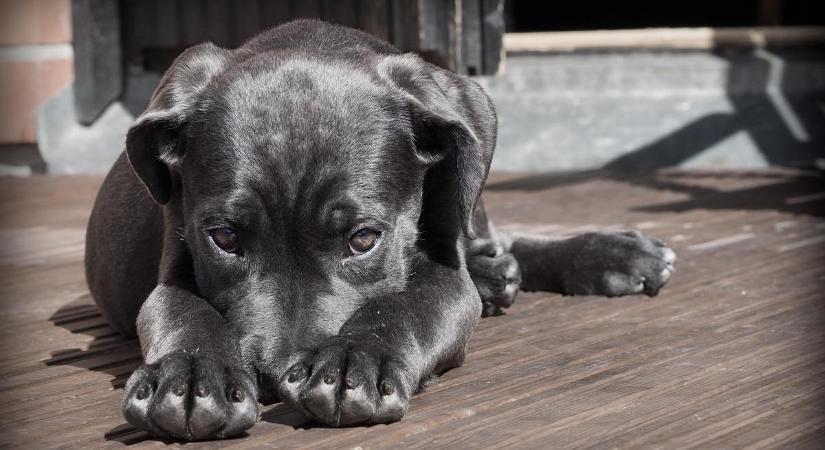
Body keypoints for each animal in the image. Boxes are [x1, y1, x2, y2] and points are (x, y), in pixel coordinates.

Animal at [85, 19, 676, 442]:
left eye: (364, 239)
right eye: (224, 239)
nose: (275, 377)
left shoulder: (445, 275)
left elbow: (406, 304)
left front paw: (355, 360)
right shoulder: (174, 261)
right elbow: (182, 311)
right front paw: (189, 375)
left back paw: (609, 255)